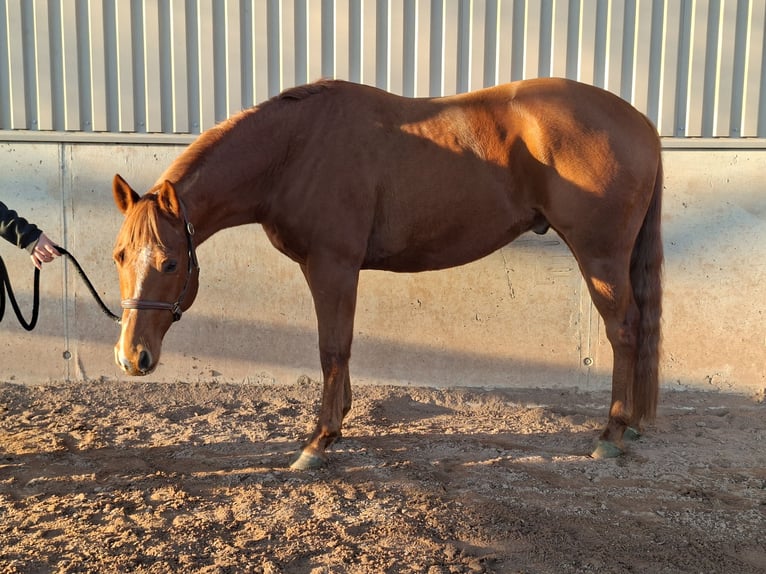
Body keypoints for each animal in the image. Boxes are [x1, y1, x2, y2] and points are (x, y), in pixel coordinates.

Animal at [112, 78, 663, 470]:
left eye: (170, 262)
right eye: (118, 256)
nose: (132, 358)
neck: (295, 149)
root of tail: (641, 123)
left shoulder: (332, 265)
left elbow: (332, 348)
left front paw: (318, 442)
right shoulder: (333, 268)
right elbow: (341, 348)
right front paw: (339, 422)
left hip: (600, 257)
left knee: (624, 331)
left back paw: (611, 434)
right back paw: (633, 424)